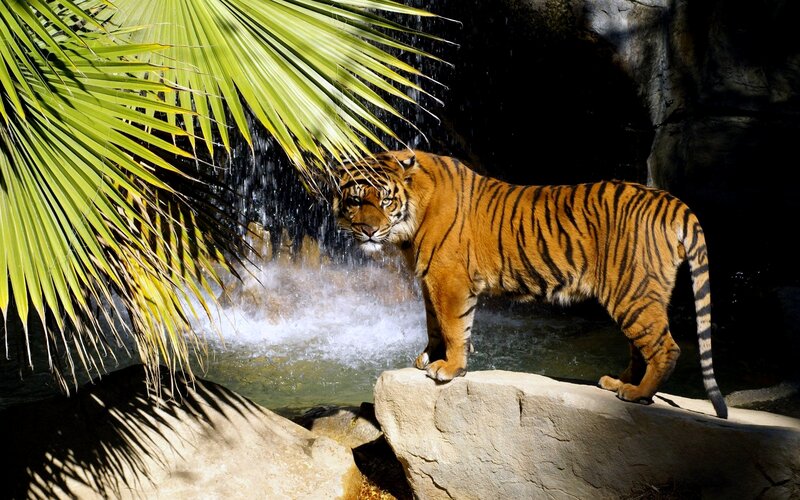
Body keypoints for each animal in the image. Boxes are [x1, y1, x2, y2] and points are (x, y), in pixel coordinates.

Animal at [332, 149, 728, 419]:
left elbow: (454, 325)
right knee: (639, 347)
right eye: (355, 201)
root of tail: (669, 199)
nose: (368, 230)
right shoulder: (429, 279)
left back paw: (638, 394)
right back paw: (619, 384)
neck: (411, 220)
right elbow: (433, 324)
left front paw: (450, 368)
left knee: (665, 348)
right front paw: (429, 356)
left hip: (632, 292)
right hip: (637, 294)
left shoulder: (448, 278)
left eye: (386, 200)